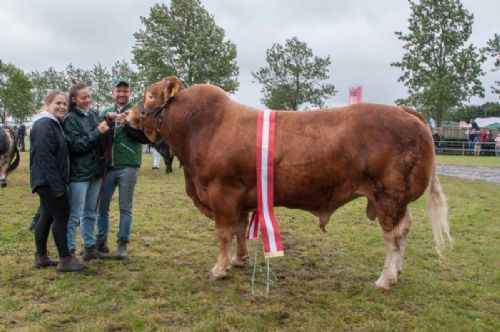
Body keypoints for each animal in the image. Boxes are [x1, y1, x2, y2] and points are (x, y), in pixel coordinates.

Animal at [126, 76, 454, 290]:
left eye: (151, 95)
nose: (126, 113)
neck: (204, 127)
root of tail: (404, 110)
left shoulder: (221, 192)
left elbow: (223, 233)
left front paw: (219, 269)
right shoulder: (241, 197)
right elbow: (239, 231)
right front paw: (239, 261)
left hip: (389, 195)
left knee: (393, 236)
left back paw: (385, 278)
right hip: (396, 199)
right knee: (405, 229)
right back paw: (396, 272)